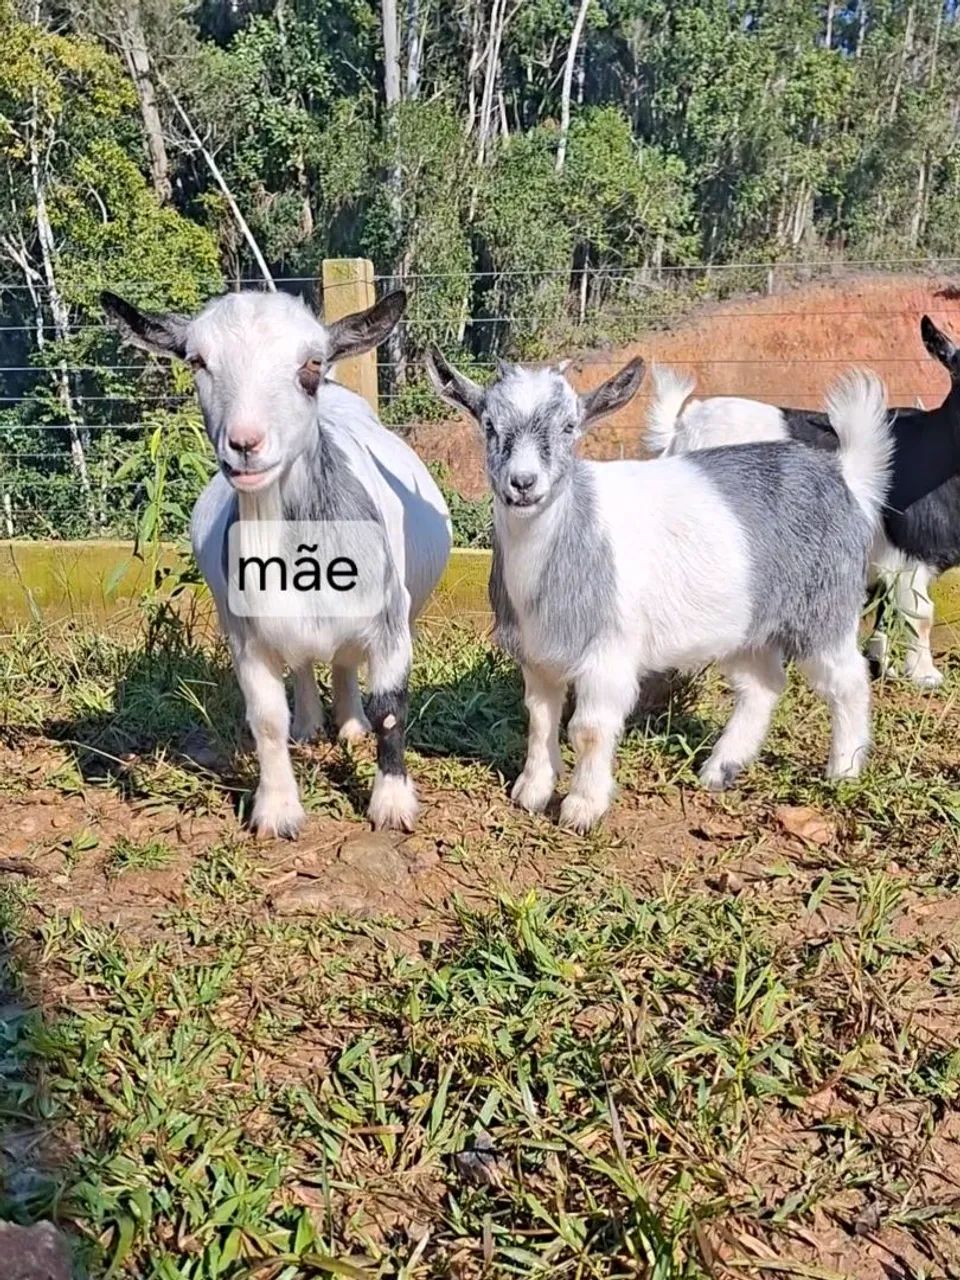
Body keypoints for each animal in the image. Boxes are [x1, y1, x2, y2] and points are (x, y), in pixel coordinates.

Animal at [103, 288, 452, 837]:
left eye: (310, 364)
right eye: (197, 361)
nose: (245, 444)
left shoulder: (391, 623)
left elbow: (391, 710)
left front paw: (392, 805)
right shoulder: (246, 635)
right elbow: (266, 717)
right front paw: (277, 811)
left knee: (345, 662)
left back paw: (350, 725)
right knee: (309, 662)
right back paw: (311, 725)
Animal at [425, 350, 891, 832]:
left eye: (570, 426)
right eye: (489, 424)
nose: (523, 482)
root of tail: (845, 476)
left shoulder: (608, 658)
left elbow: (588, 730)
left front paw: (582, 808)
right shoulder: (538, 657)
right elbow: (539, 719)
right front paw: (531, 792)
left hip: (825, 609)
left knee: (848, 680)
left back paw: (843, 770)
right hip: (746, 627)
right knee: (761, 686)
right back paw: (719, 769)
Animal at [647, 314, 960, 688]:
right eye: (957, 370)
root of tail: (681, 427)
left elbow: (885, 609)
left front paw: (883, 664)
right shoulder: (909, 554)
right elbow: (920, 613)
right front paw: (926, 675)